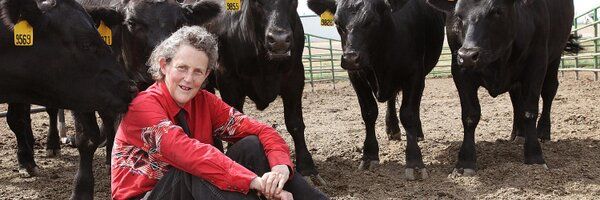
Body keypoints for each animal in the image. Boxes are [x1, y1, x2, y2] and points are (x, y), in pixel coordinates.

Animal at [183, 0, 324, 184]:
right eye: (255, 2)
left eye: (293, 2)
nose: (279, 40)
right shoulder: (229, 81)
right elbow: (232, 123)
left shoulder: (295, 77)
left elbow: (295, 123)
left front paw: (307, 167)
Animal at [310, 0, 446, 180]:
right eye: (337, 23)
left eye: (371, 20)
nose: (350, 58)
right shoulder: (356, 76)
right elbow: (369, 112)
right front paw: (369, 155)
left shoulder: (415, 74)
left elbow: (408, 114)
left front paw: (415, 162)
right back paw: (393, 129)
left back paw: (417, 132)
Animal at [426, 0, 580, 175]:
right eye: (458, 15)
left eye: (497, 11)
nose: (467, 55)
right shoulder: (460, 71)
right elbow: (470, 115)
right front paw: (465, 161)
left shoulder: (537, 63)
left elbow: (529, 111)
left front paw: (534, 156)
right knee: (517, 99)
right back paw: (519, 134)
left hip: (555, 56)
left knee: (549, 90)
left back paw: (543, 132)